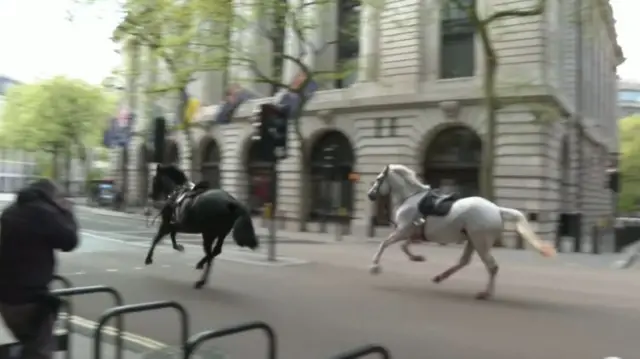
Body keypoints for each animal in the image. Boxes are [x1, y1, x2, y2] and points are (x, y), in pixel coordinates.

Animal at [368, 165, 556, 300]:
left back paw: (485, 294)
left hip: (480, 242)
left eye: (378, 179)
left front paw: (375, 267)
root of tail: (497, 210)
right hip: (472, 240)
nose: (370, 194)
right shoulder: (412, 234)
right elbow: (404, 247)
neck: (411, 198)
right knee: (464, 262)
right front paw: (418, 257)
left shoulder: (402, 231)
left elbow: (384, 244)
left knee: (492, 266)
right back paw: (440, 277)